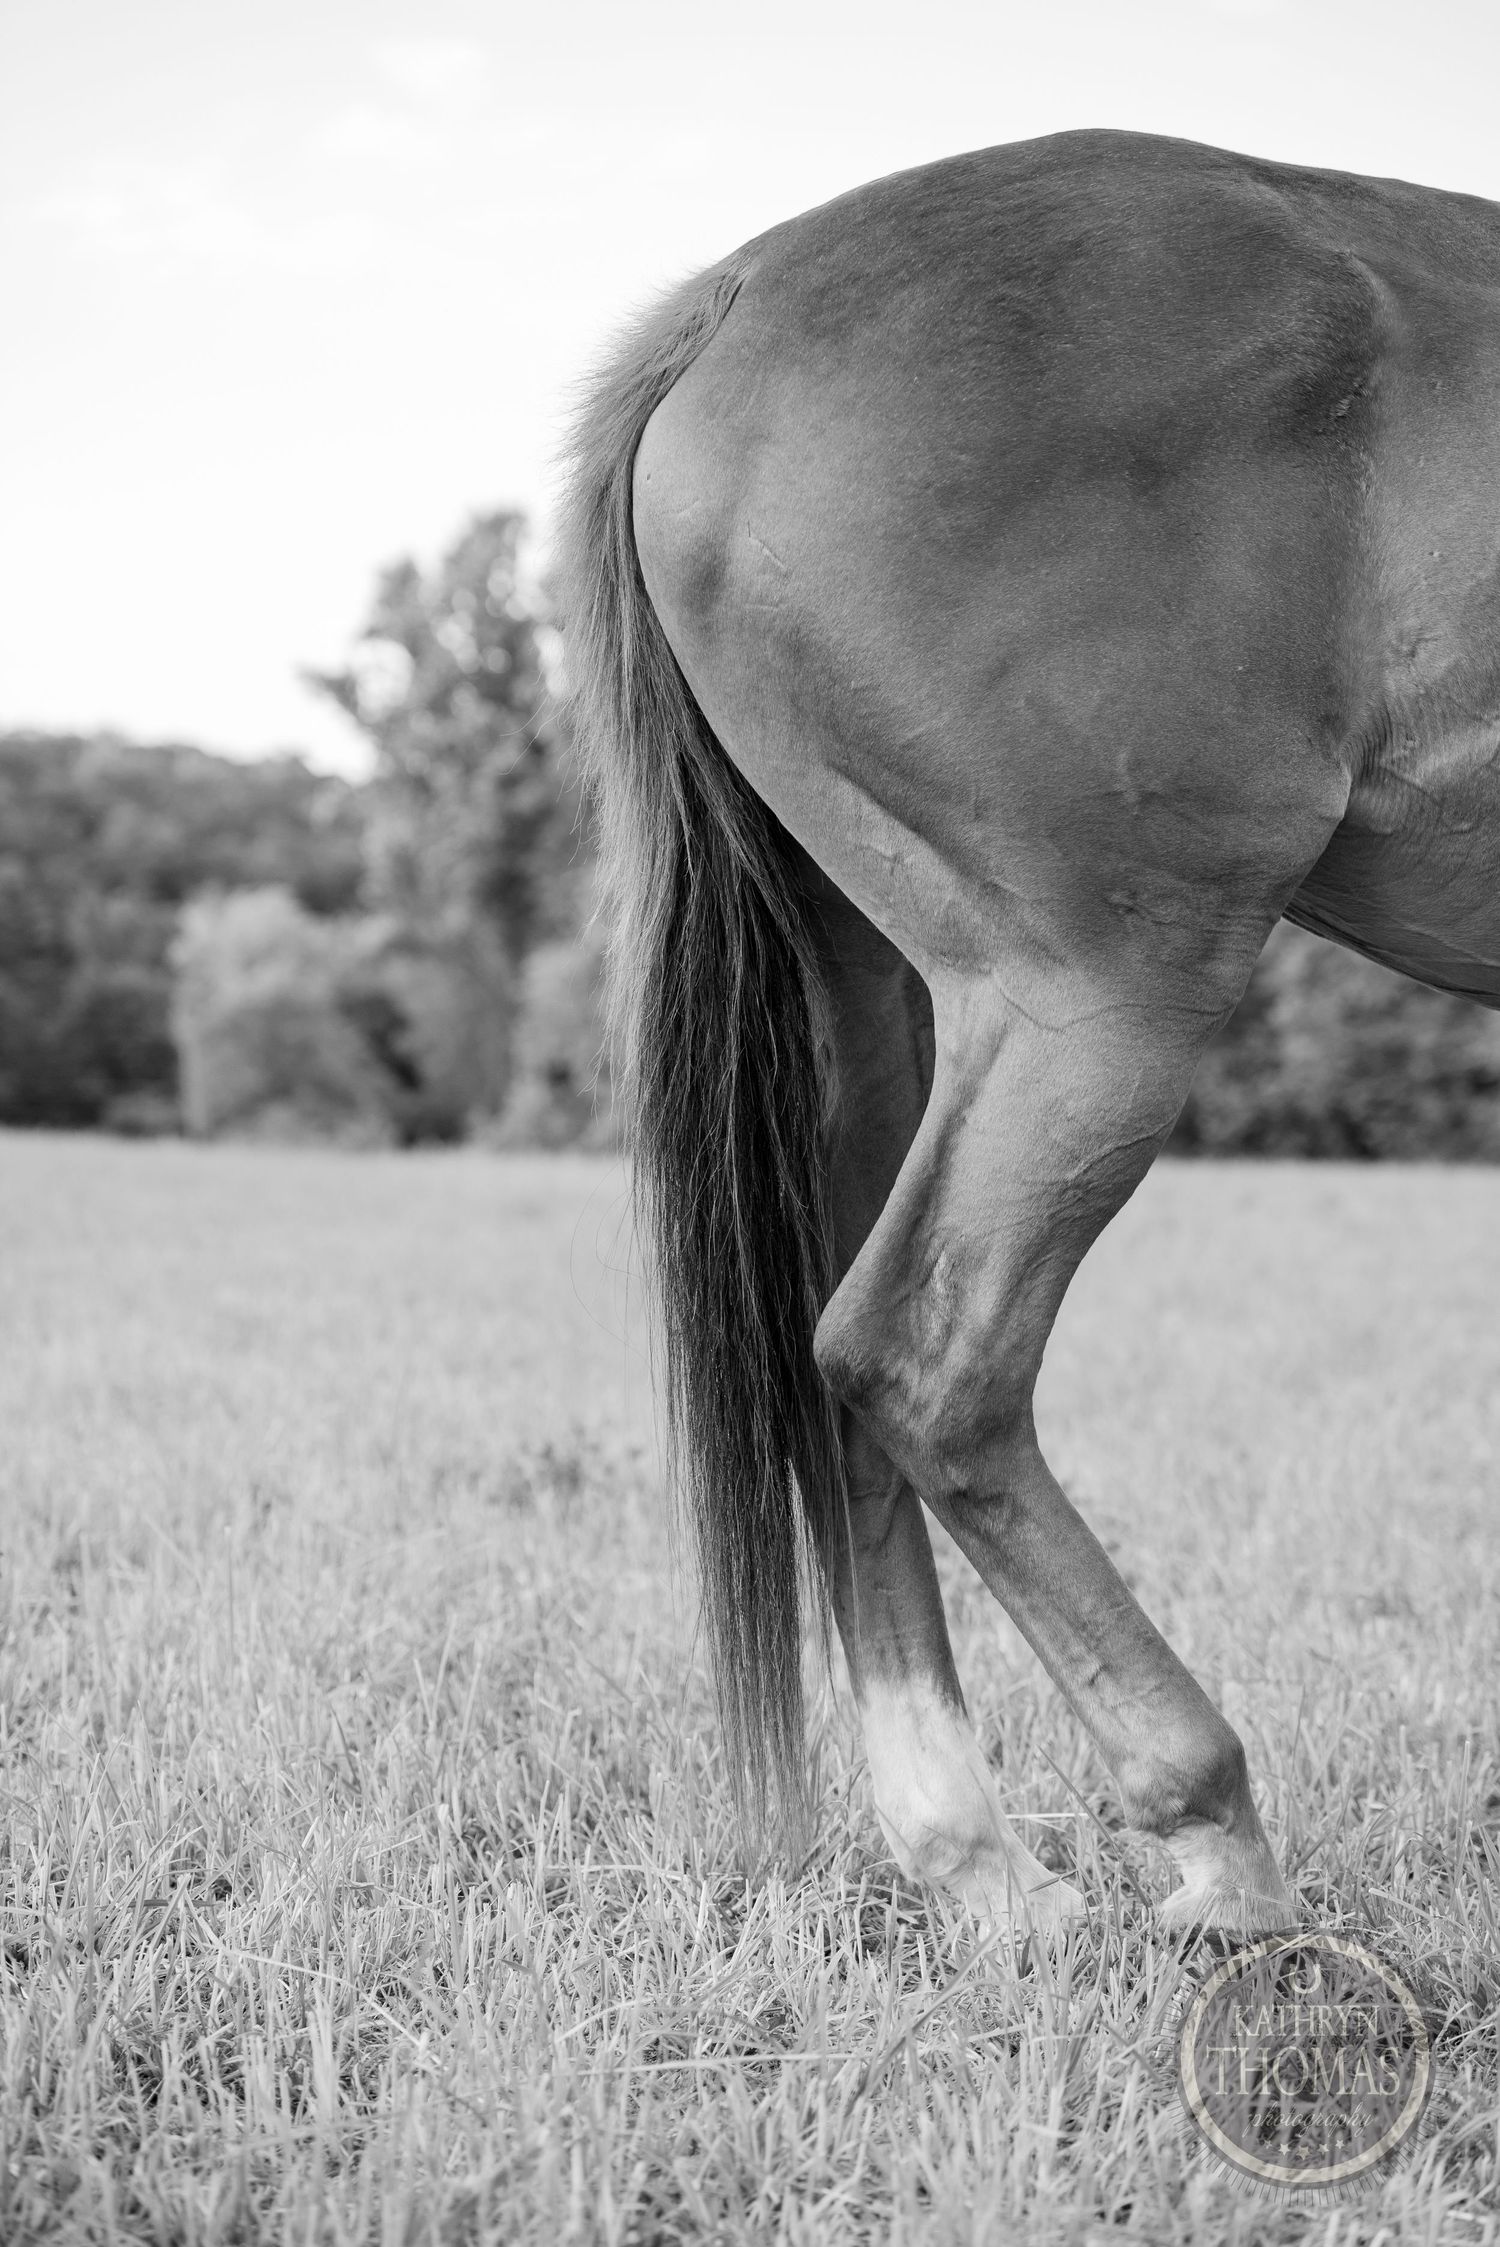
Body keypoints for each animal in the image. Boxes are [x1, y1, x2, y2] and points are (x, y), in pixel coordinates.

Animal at [558, 128, 1500, 1939]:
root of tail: (735, 302)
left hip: (884, 997)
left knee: (826, 1356)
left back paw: (976, 1861)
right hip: (1097, 999)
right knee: (922, 1356)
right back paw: (1212, 1842)